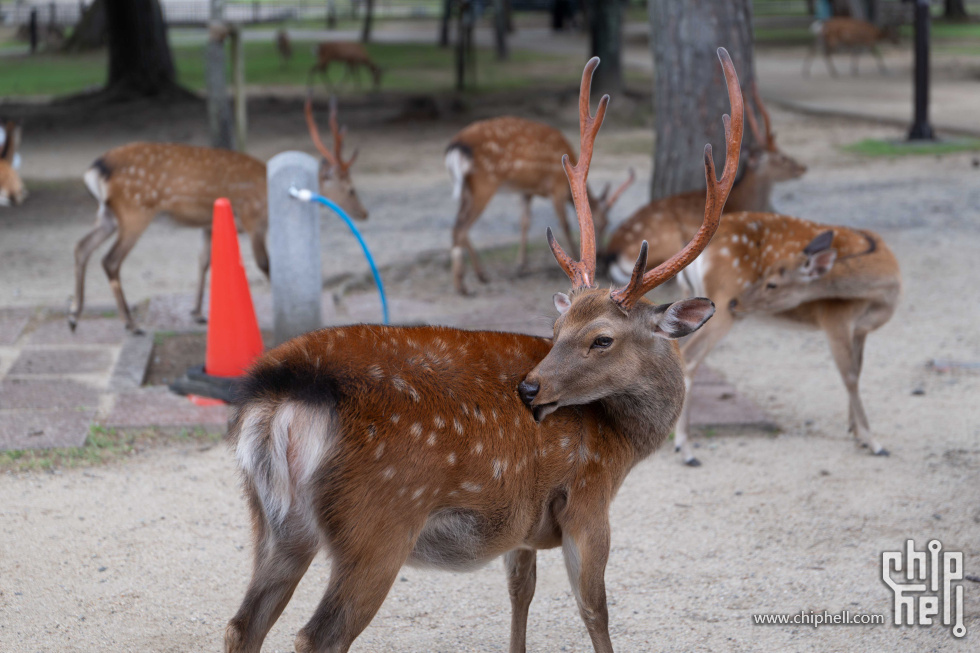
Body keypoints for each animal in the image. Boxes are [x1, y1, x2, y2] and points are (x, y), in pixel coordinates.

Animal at [70, 97, 368, 336]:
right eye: (351, 189)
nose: (364, 213)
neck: (265, 192)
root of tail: (96, 168)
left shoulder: (209, 225)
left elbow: (204, 261)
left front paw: (197, 313)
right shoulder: (253, 219)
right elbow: (264, 264)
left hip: (108, 213)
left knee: (82, 246)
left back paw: (74, 315)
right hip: (135, 210)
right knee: (110, 260)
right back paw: (130, 324)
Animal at [446, 118, 636, 296]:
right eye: (601, 224)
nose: (601, 255)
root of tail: (455, 147)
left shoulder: (527, 191)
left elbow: (525, 222)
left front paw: (521, 266)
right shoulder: (557, 186)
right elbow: (565, 224)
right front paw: (575, 258)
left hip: (467, 188)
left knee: (458, 226)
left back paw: (481, 275)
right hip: (484, 182)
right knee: (461, 227)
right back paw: (462, 286)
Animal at [672, 211, 904, 466]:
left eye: (772, 283)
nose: (736, 302)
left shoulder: (860, 330)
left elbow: (857, 371)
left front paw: (856, 434)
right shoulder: (836, 319)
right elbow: (850, 376)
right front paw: (873, 442)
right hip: (720, 302)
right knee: (689, 356)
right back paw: (685, 450)